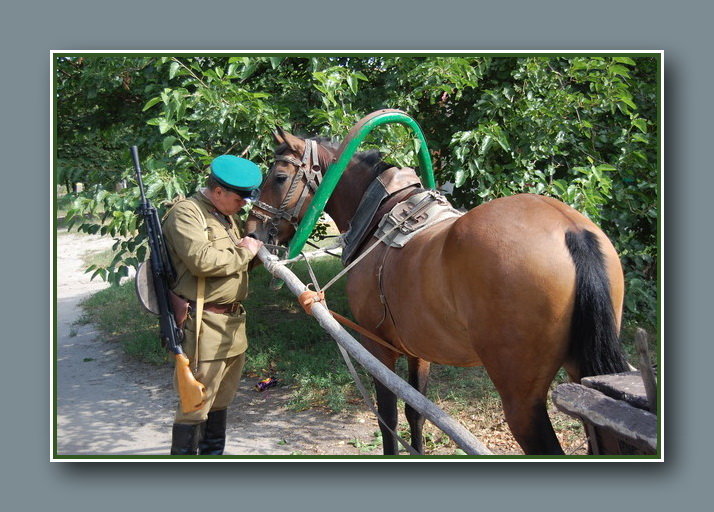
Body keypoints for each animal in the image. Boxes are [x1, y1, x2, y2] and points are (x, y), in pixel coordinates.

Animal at [246, 128, 628, 456]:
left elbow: (388, 418)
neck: (382, 214)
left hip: (521, 398)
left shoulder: (377, 346)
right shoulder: (419, 349)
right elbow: (416, 411)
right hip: (580, 371)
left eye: (278, 177)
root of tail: (570, 230)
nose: (252, 231)